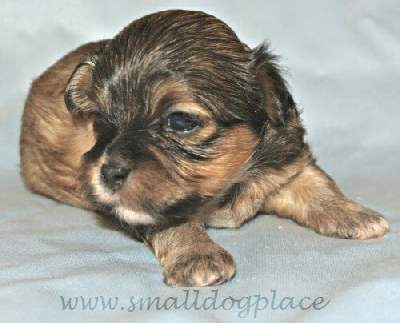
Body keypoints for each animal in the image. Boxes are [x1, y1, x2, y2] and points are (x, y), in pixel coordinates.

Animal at [20, 9, 390, 286]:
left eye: (181, 121)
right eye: (98, 118)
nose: (109, 172)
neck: (222, 187)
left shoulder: (285, 162)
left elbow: (317, 183)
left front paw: (355, 214)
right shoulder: (142, 206)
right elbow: (173, 222)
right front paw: (197, 255)